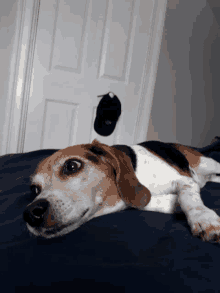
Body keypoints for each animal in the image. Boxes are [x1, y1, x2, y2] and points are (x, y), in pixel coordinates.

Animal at [22, 140, 220, 241]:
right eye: (34, 189)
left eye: (71, 166)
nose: (31, 213)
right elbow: (157, 202)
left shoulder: (185, 181)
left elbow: (188, 198)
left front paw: (204, 219)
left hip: (207, 163)